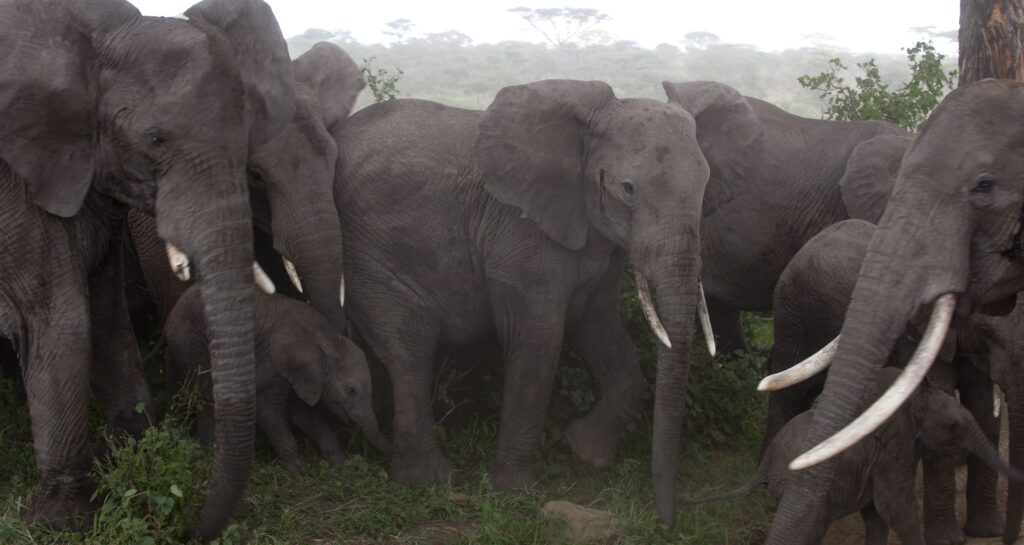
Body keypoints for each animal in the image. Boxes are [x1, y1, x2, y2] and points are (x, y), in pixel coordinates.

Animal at [0, 0, 294, 539]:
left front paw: (133, 456)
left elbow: (105, 315)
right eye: (156, 140)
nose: (190, 530)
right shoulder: (14, 186)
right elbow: (58, 321)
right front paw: (55, 522)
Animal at [163, 285, 389, 471]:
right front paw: (299, 471)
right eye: (351, 390)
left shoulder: (298, 373)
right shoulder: (272, 362)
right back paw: (207, 450)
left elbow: (301, 413)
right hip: (191, 344)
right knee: (208, 399)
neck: (326, 338)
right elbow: (269, 411)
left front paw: (341, 464)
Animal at [332, 80, 712, 525]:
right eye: (628, 189)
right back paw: (431, 480)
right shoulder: (520, 236)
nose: (664, 522)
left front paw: (585, 452)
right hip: (366, 256)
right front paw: (516, 491)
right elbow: (539, 341)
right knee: (410, 346)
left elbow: (601, 328)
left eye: (706, 184)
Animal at [690, 367, 1023, 545]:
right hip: (804, 487)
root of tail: (765, 464)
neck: (911, 397)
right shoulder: (890, 455)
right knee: (807, 527)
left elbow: (876, 514)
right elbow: (894, 508)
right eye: (953, 426)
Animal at [761, 79, 1024, 545]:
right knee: (791, 387)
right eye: (990, 332)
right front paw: (950, 538)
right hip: (793, 307)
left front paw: (985, 530)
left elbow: (981, 409)